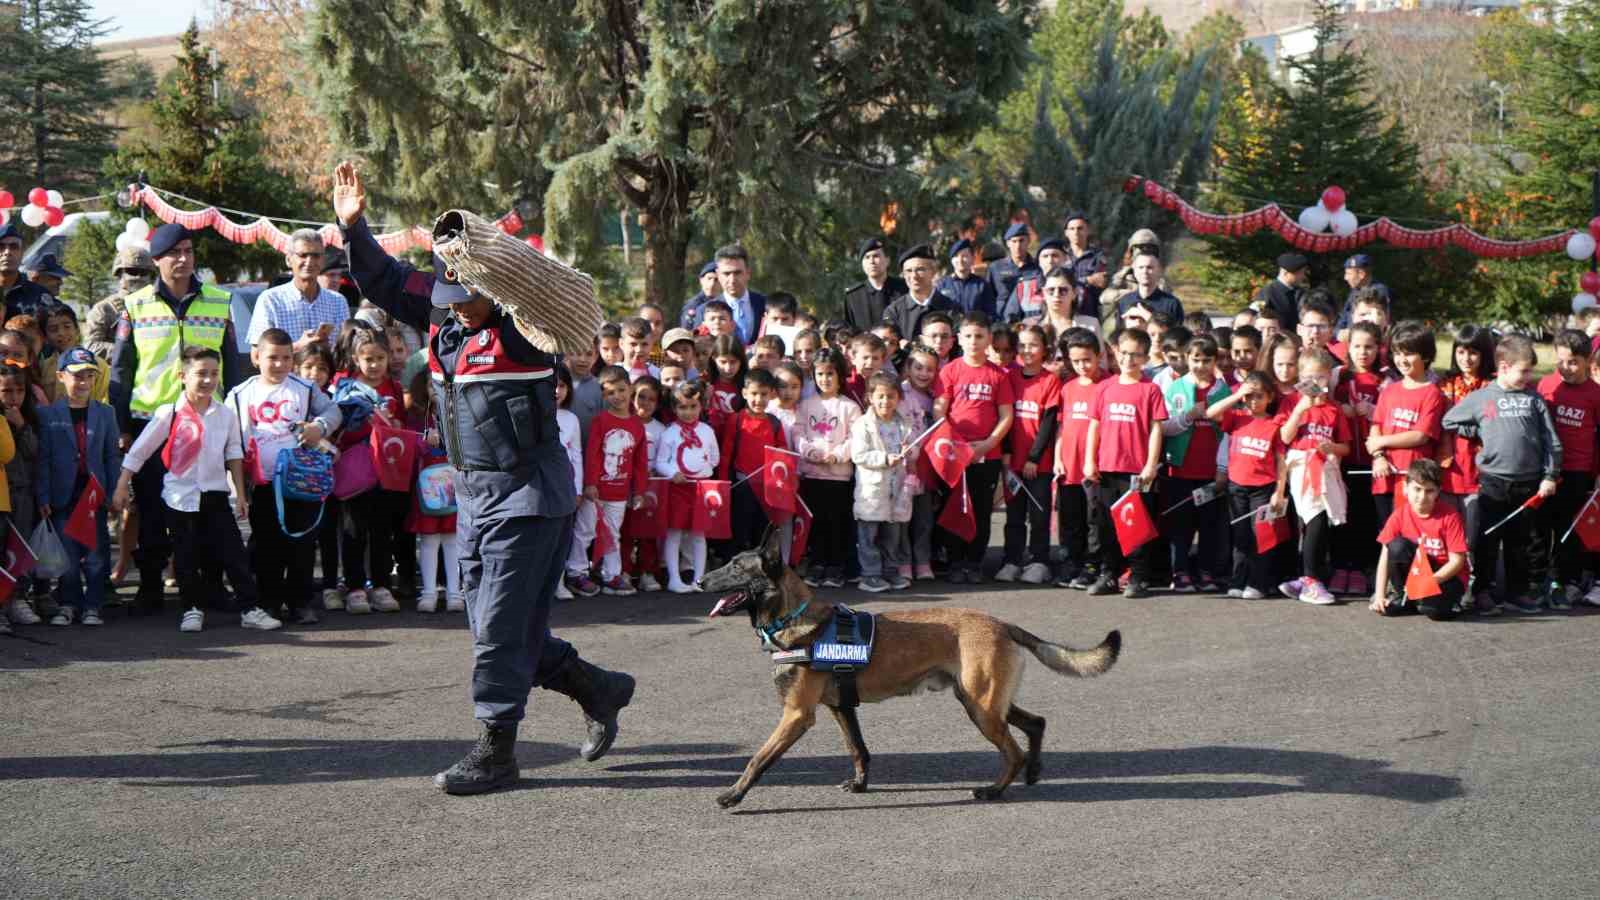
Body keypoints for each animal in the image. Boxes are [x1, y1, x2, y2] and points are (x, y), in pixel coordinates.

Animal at [707, 528, 1120, 810]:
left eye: (736, 566)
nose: (699, 579)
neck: (796, 619)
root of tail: (1002, 623)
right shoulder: (842, 708)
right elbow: (858, 749)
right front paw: (860, 785)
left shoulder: (796, 715)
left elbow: (758, 758)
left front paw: (733, 795)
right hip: (984, 701)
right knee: (1036, 723)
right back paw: (1033, 772)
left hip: (982, 709)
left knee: (1013, 751)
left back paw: (994, 790)